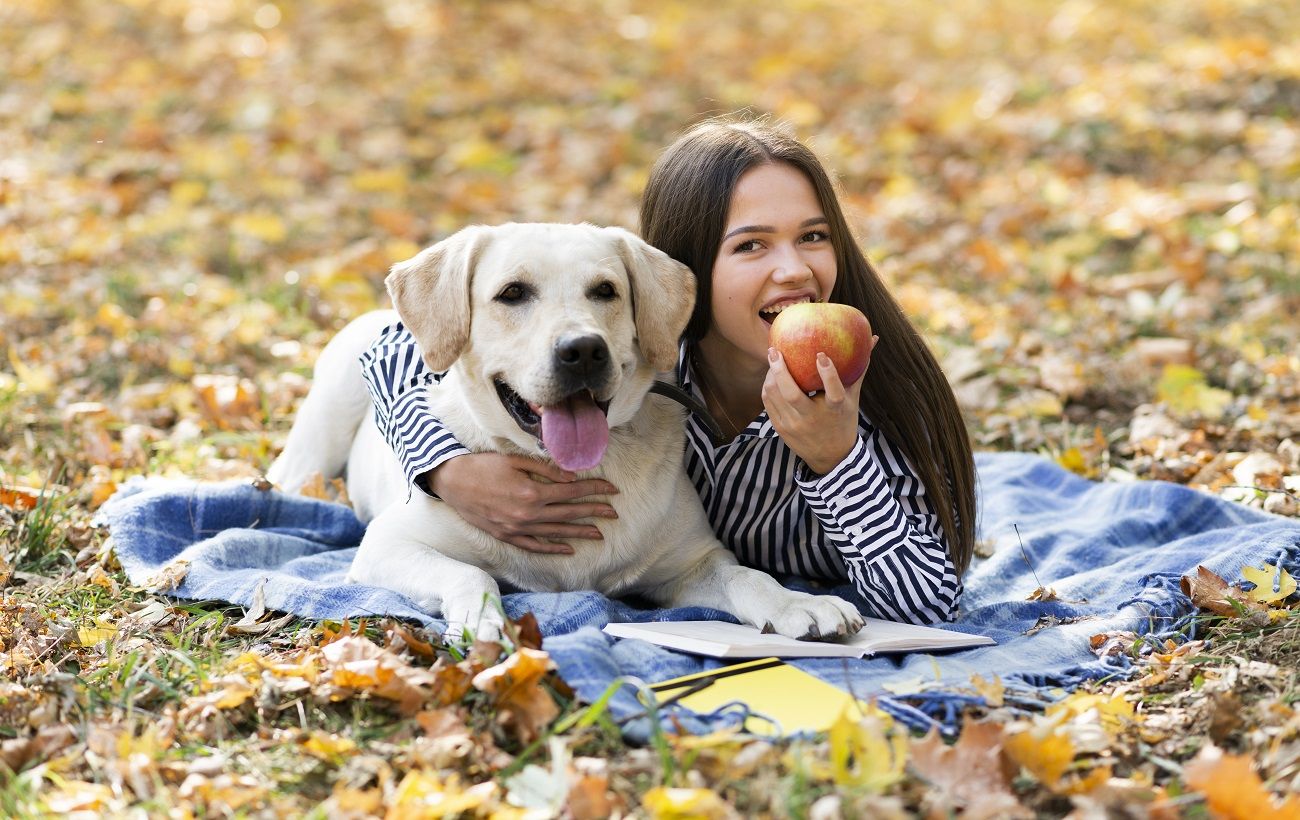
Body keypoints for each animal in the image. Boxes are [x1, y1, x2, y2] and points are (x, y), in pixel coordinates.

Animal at [266, 223, 863, 641]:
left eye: (606, 291)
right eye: (511, 293)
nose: (583, 350)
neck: (567, 470)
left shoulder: (690, 560)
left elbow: (747, 577)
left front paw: (797, 603)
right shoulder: (388, 545)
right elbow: (470, 575)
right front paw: (484, 619)